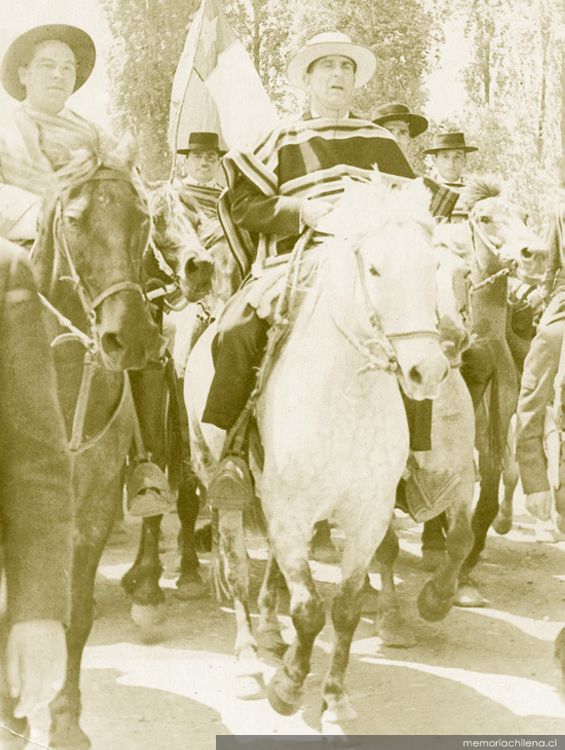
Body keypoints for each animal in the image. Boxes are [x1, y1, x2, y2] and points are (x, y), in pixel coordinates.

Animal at [185, 176, 450, 724]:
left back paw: (270, 630)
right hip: (217, 478)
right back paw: (248, 659)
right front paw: (287, 688)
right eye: (375, 268)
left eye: (432, 266)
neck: (346, 402)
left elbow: (345, 609)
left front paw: (335, 697)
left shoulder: (366, 516)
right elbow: (308, 610)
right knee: (236, 569)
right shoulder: (290, 510)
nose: (427, 370)